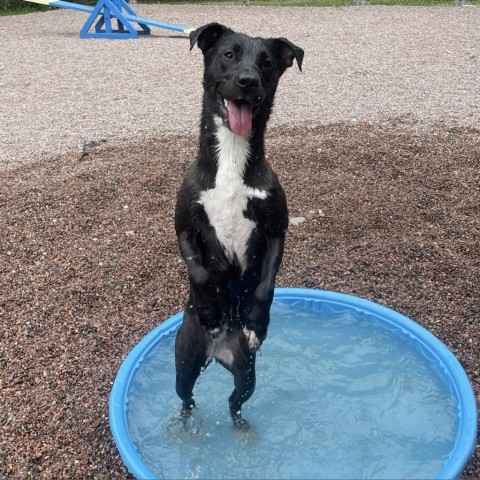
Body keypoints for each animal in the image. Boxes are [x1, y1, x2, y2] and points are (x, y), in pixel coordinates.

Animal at [175, 22, 304, 428]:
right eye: (229, 54)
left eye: (266, 63)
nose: (248, 81)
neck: (231, 159)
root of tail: (218, 352)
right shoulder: (184, 225)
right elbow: (199, 271)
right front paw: (211, 312)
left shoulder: (276, 230)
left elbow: (265, 285)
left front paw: (256, 323)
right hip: (184, 362)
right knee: (186, 400)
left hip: (246, 374)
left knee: (235, 403)